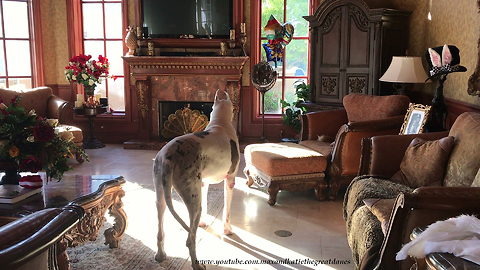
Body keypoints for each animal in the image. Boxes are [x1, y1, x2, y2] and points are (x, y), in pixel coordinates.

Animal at [153, 89, 239, 270]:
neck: (220, 122)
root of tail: (169, 157)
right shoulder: (230, 181)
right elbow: (227, 211)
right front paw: (227, 230)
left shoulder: (204, 183)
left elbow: (206, 205)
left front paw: (204, 223)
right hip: (193, 201)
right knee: (190, 239)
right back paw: (197, 264)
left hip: (161, 195)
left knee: (160, 230)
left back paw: (160, 255)